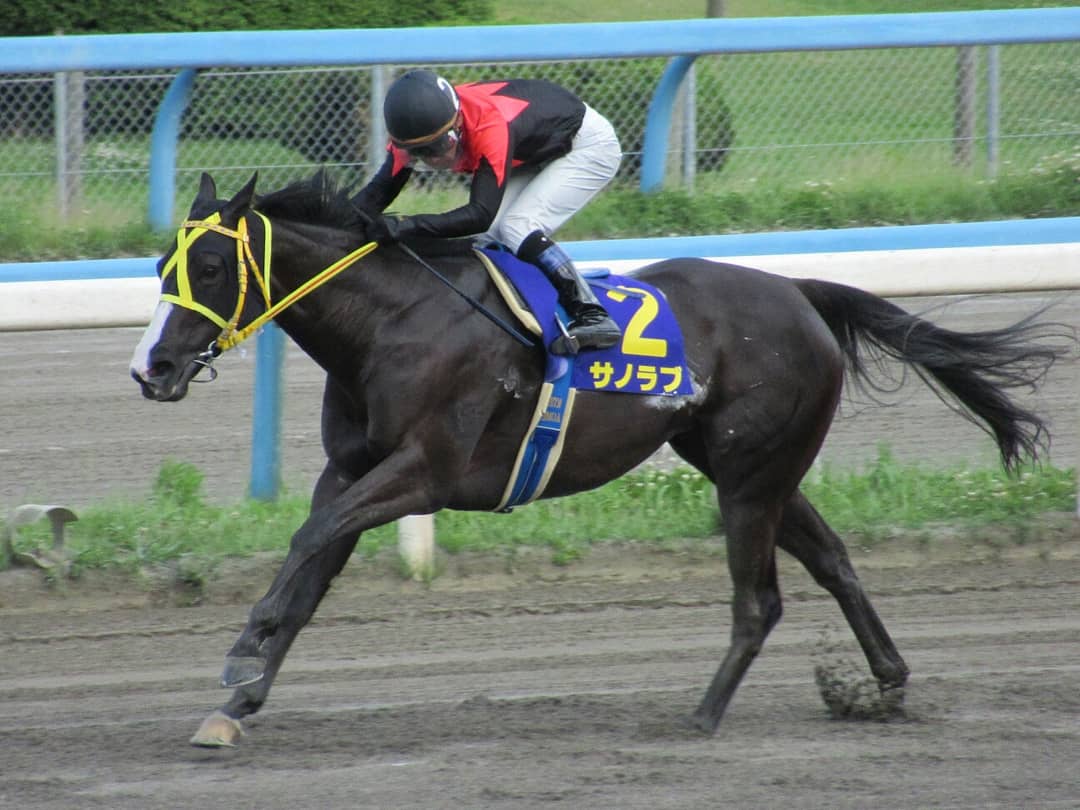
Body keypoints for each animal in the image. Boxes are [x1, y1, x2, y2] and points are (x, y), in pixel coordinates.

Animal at [130, 171, 1067, 747]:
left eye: (208, 264)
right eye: (162, 262)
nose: (153, 368)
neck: (389, 323)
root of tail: (798, 291)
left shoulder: (425, 472)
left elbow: (307, 540)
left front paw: (243, 653)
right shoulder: (352, 470)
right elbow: (315, 562)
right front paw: (239, 700)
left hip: (749, 476)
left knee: (759, 601)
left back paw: (702, 715)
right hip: (750, 465)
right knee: (835, 560)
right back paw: (885, 685)